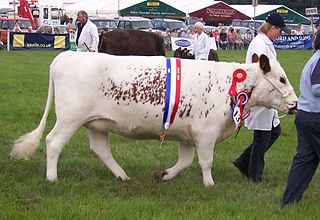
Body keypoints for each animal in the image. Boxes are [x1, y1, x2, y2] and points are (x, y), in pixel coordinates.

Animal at [11, 51, 298, 186]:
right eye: (282, 79)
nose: (295, 103)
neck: (229, 85)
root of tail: (67, 55)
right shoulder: (206, 132)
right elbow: (206, 161)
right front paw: (209, 184)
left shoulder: (187, 134)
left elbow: (185, 161)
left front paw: (164, 175)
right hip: (70, 118)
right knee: (54, 142)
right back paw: (52, 178)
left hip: (97, 123)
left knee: (100, 149)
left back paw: (122, 176)